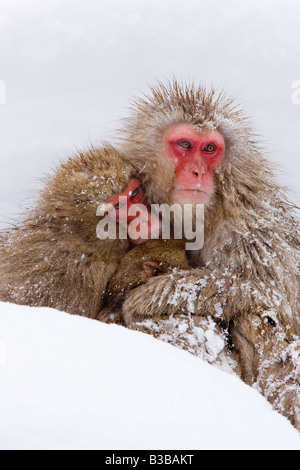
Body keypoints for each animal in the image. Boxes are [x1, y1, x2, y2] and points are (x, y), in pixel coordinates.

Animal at [118, 81, 300, 430]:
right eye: (185, 144)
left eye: (210, 149)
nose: (197, 171)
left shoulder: (250, 222)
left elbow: (273, 293)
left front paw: (147, 296)